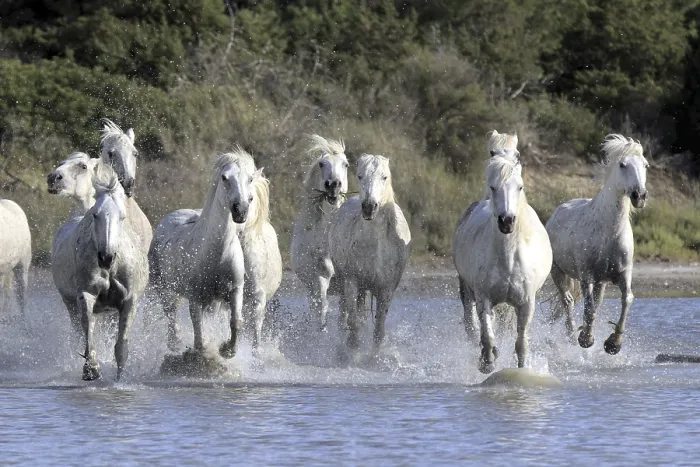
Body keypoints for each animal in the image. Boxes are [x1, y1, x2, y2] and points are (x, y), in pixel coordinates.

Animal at [60, 164, 148, 380]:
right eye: (95, 214)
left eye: (122, 216)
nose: (106, 257)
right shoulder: (86, 294)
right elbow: (88, 331)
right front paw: (91, 369)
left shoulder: (130, 301)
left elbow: (121, 346)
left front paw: (119, 379)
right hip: (70, 304)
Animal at [149, 149, 257, 359]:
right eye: (224, 177)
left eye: (250, 178)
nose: (240, 210)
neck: (217, 255)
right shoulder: (195, 296)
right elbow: (197, 330)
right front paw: (203, 351)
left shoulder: (235, 290)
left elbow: (235, 322)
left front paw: (227, 350)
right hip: (162, 286)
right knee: (170, 312)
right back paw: (175, 342)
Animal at [329, 154, 411, 351]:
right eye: (359, 176)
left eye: (384, 177)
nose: (368, 207)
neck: (375, 246)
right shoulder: (351, 281)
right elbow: (353, 323)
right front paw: (352, 350)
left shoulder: (386, 289)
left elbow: (379, 330)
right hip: (347, 283)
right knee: (345, 315)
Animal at [453, 132, 552, 374]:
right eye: (493, 187)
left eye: (520, 187)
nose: (506, 221)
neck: (509, 258)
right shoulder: (484, 299)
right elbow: (487, 336)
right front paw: (487, 363)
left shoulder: (526, 304)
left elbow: (521, 342)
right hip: (466, 290)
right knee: (471, 325)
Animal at [546, 134, 649, 355]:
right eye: (622, 164)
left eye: (646, 165)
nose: (640, 196)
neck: (609, 234)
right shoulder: (587, 277)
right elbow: (589, 308)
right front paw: (586, 339)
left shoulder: (623, 274)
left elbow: (626, 299)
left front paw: (613, 344)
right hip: (558, 271)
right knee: (567, 300)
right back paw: (571, 334)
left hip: (601, 282)